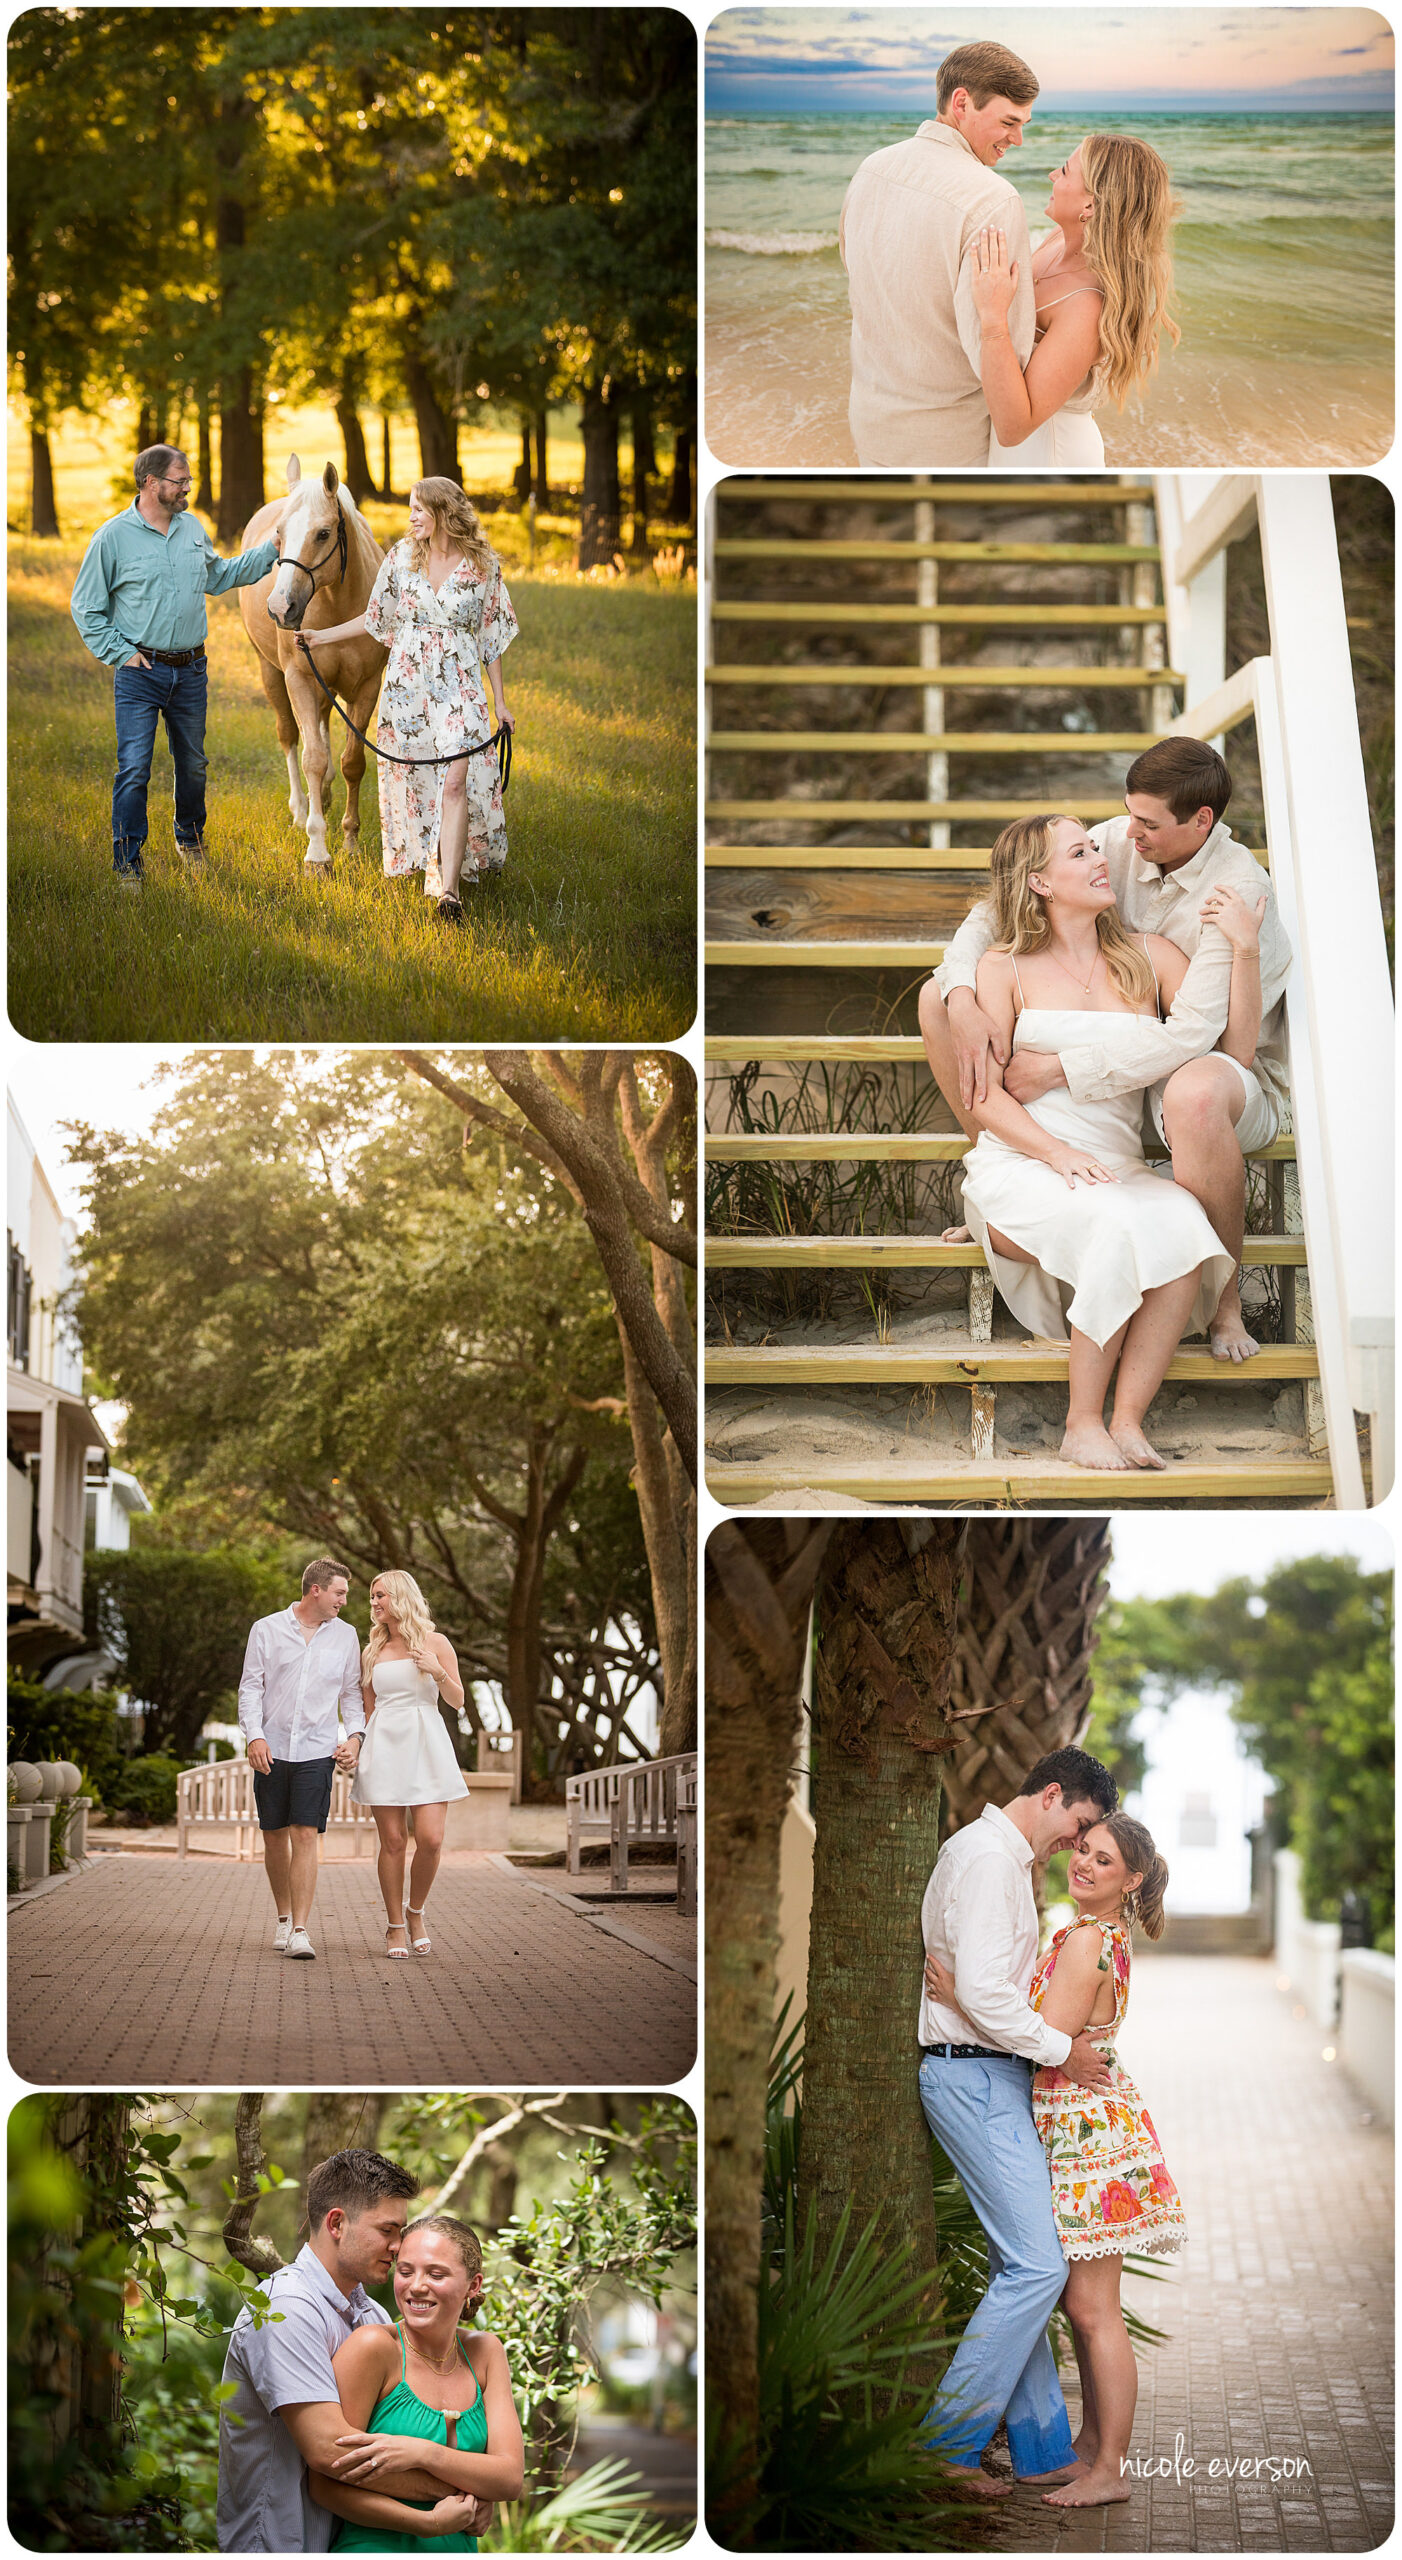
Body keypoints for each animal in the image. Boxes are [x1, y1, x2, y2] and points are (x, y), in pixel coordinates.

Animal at [237, 455, 386, 865]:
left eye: (323, 533)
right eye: (279, 533)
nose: (280, 607)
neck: (337, 602)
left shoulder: (367, 686)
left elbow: (353, 761)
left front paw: (350, 840)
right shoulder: (299, 678)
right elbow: (312, 758)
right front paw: (317, 850)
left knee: (319, 726)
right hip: (271, 673)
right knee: (291, 736)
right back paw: (301, 809)